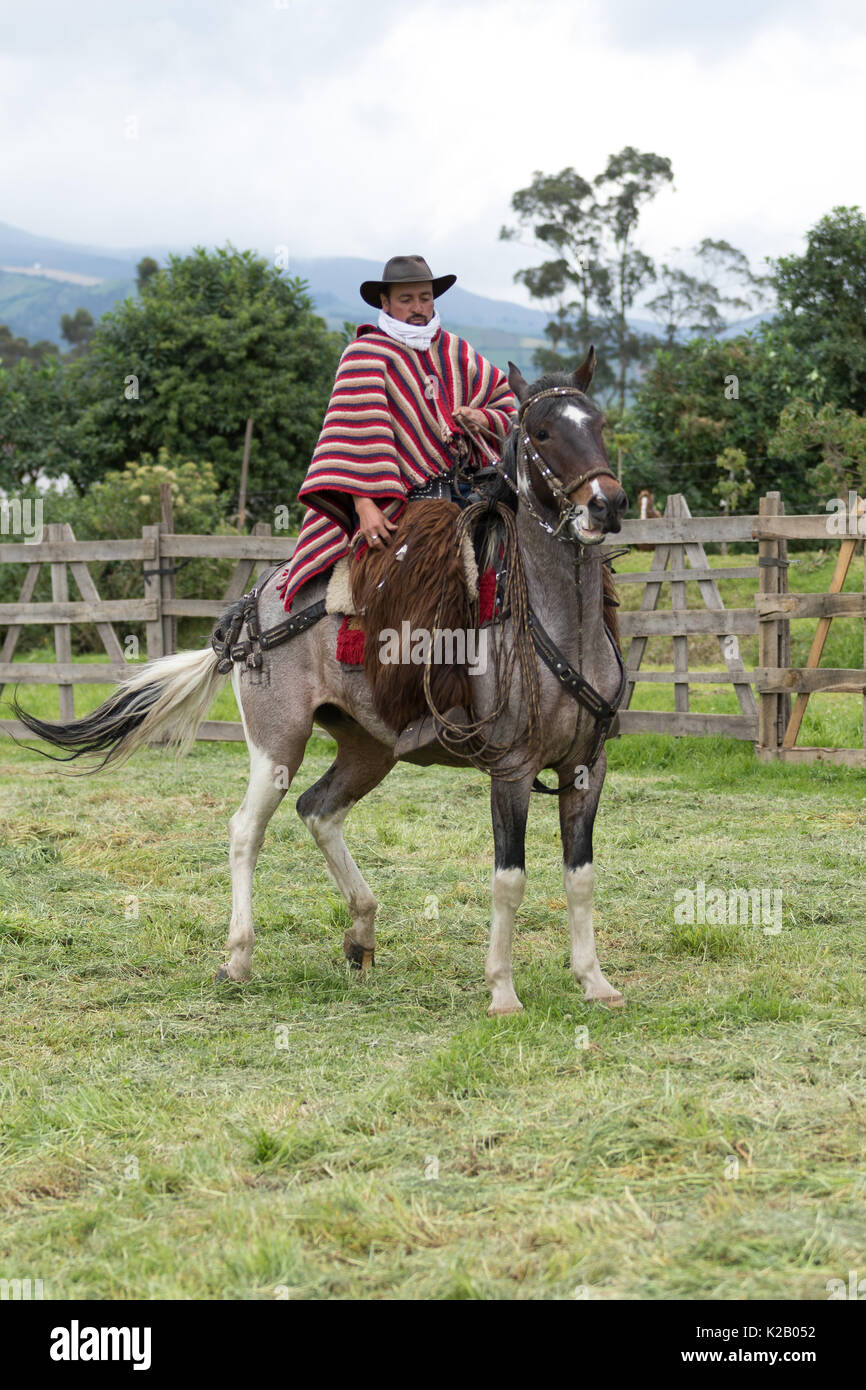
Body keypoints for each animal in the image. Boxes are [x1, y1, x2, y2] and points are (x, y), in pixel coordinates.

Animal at [11, 348, 629, 1017]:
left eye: (599, 423)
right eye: (541, 432)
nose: (607, 503)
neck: (559, 625)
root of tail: (255, 606)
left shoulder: (585, 769)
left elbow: (581, 875)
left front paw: (594, 981)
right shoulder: (511, 770)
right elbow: (509, 880)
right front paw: (502, 992)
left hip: (368, 747)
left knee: (318, 810)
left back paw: (361, 932)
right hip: (278, 743)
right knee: (245, 831)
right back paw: (238, 956)